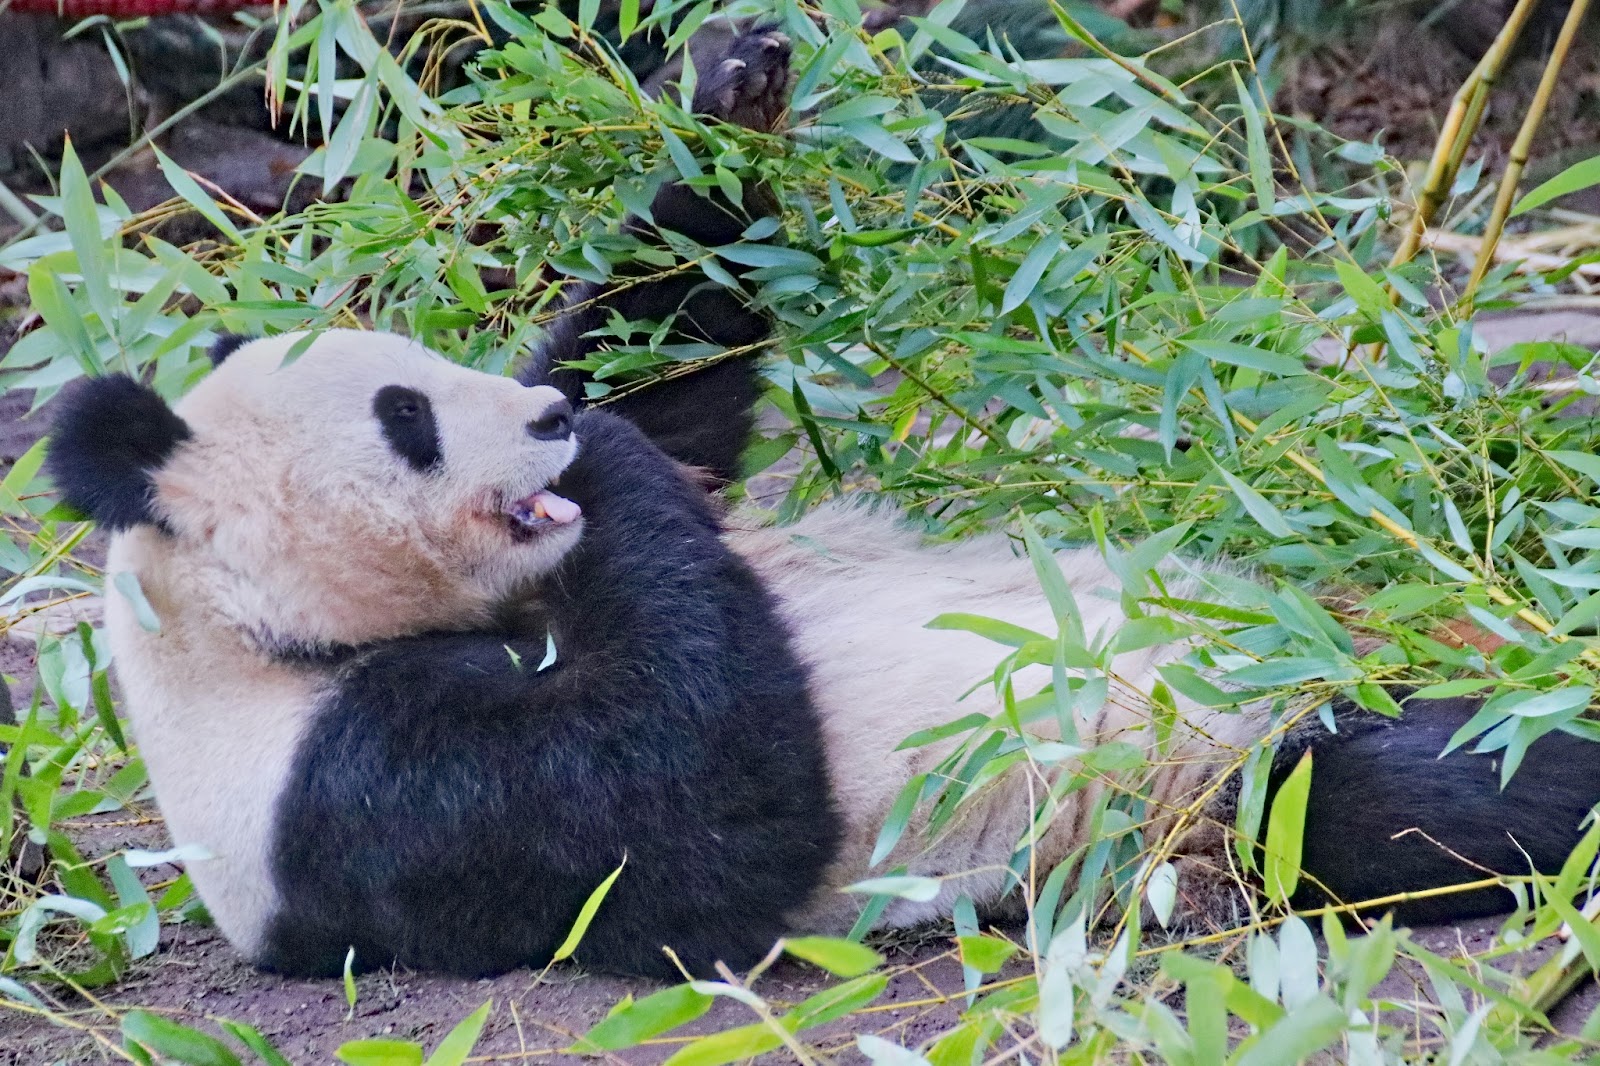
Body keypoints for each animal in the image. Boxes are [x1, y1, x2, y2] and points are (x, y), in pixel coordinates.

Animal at [43, 22, 1600, 979]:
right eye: (409, 419)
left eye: (432, 372)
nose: (545, 425)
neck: (251, 639)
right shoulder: (348, 789)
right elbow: (686, 813)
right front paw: (610, 468)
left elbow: (678, 377)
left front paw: (726, 95)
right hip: (1170, 792)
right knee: (1422, 791)